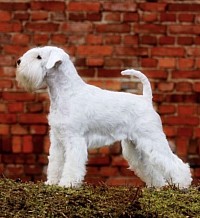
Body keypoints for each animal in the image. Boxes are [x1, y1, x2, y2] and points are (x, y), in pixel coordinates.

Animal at [16, 45, 192, 187]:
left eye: (39, 56)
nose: (18, 61)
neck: (65, 93)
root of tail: (146, 99)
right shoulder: (58, 140)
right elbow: (55, 163)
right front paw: (51, 183)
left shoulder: (74, 139)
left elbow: (71, 165)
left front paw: (67, 184)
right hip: (136, 146)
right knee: (150, 168)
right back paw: (157, 186)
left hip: (152, 139)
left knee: (175, 164)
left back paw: (182, 184)